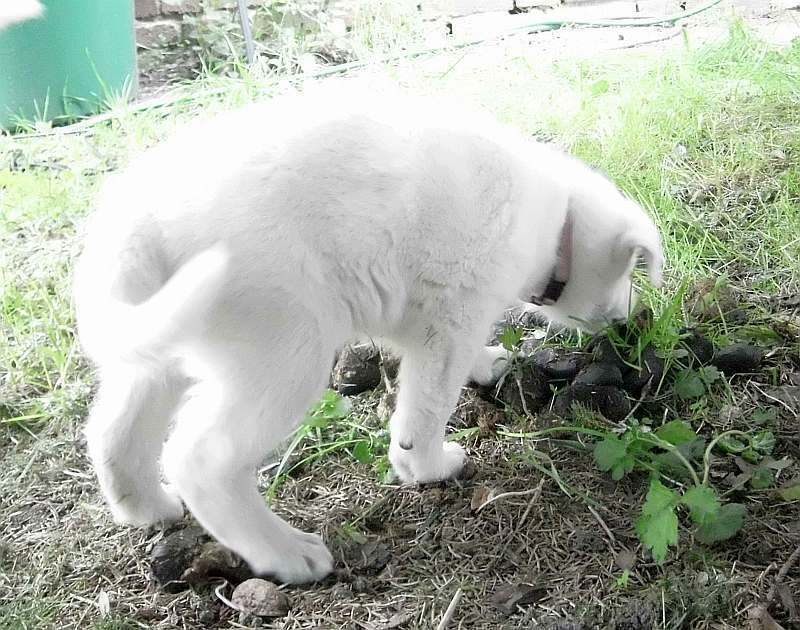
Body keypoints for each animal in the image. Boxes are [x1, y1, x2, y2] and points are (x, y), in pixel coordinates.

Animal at [75, 85, 664, 588]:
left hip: (157, 352)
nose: (630, 320)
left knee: (112, 434)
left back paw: (146, 507)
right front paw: (425, 467)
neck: (554, 219)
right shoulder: (450, 321)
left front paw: (486, 363)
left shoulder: (420, 316)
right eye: (631, 272)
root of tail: (135, 225)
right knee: (200, 459)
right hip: (288, 352)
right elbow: (426, 409)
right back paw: (285, 553)